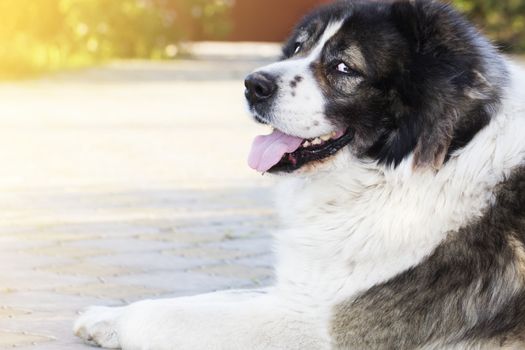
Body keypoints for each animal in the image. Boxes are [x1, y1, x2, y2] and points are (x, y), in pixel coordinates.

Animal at [72, 1, 524, 348]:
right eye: (299, 48)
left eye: (343, 67)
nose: (252, 84)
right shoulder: (303, 292)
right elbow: (211, 297)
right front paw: (106, 317)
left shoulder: (321, 325)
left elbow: (173, 317)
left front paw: (122, 321)